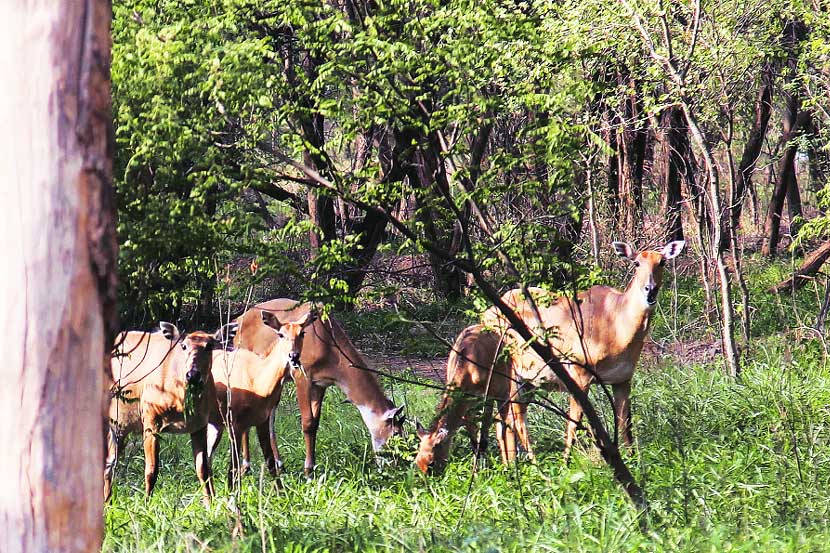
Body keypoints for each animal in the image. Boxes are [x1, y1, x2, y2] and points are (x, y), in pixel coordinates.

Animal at [105, 320, 237, 504]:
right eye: (183, 346)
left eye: (209, 346)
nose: (192, 375)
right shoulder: (150, 418)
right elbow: (151, 470)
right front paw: (146, 504)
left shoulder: (200, 424)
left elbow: (203, 468)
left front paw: (209, 504)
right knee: (109, 462)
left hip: (123, 425)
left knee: (110, 462)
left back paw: (108, 501)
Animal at [206, 308, 316, 486]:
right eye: (280, 334)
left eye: (302, 333)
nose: (293, 356)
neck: (257, 383)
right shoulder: (235, 422)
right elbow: (232, 469)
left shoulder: (262, 420)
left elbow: (271, 464)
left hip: (215, 422)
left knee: (206, 457)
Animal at [234, 298, 406, 474]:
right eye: (396, 433)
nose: (396, 466)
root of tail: (238, 320)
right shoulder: (301, 375)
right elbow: (307, 422)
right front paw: (308, 470)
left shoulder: (320, 384)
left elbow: (315, 423)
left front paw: (312, 467)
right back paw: (246, 466)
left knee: (270, 415)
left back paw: (278, 464)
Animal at [416, 324, 532, 474]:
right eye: (417, 462)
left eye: (431, 462)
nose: (433, 479)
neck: (468, 370)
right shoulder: (467, 405)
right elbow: (473, 442)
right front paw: (477, 473)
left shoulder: (488, 396)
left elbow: (483, 441)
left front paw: (484, 472)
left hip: (505, 389)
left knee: (508, 423)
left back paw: (510, 465)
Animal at [484, 239, 684, 454]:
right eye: (636, 263)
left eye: (662, 262)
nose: (650, 289)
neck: (617, 330)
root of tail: (485, 315)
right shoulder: (579, 370)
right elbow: (573, 425)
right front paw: (567, 460)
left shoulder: (623, 378)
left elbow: (625, 426)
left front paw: (632, 458)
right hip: (510, 370)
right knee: (516, 421)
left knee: (503, 423)